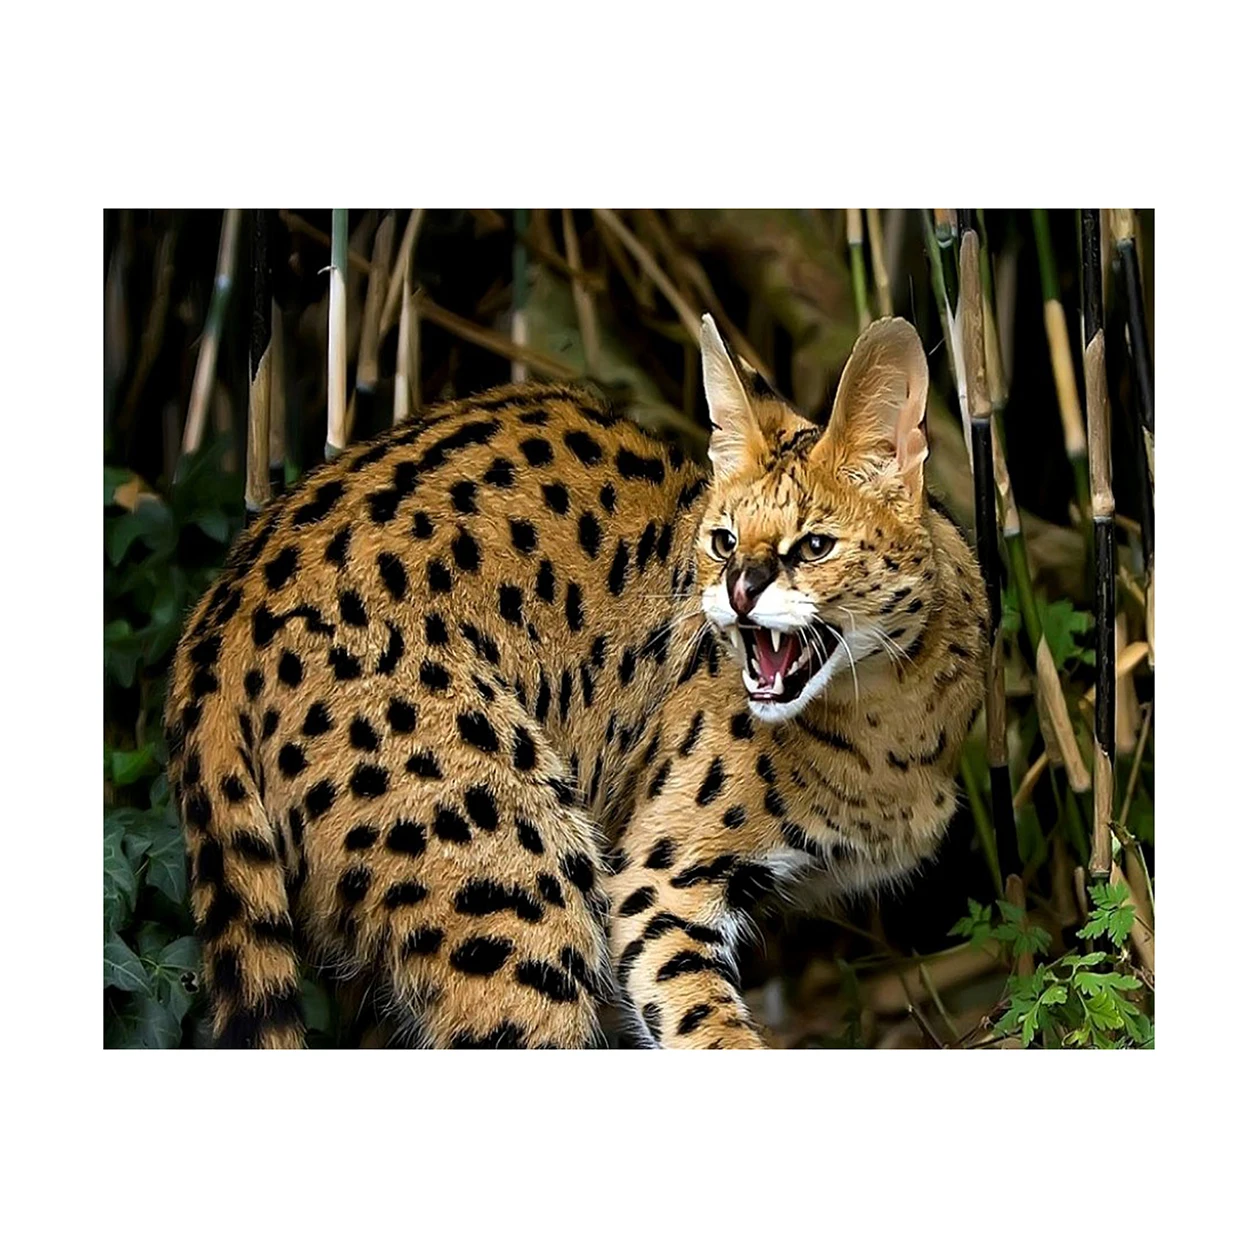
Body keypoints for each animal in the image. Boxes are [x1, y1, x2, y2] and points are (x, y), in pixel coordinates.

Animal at [164, 313, 986, 1049]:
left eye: (814, 547)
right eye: (723, 542)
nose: (738, 590)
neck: (895, 714)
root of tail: (217, 625)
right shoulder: (655, 883)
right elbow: (705, 1029)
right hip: (516, 882)